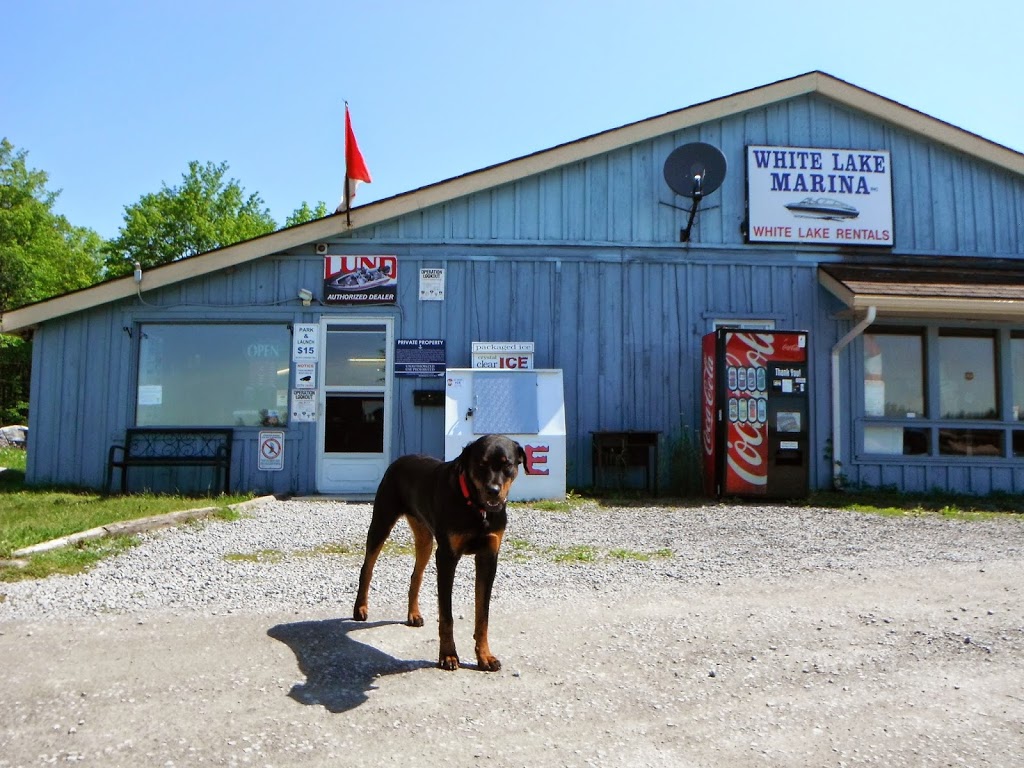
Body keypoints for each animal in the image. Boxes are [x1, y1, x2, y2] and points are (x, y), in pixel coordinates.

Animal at [354, 436, 528, 671]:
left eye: (507, 464)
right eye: (480, 464)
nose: (493, 490)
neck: (476, 507)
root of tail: (400, 460)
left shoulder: (489, 556)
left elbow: (483, 615)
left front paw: (485, 656)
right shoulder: (447, 557)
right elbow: (446, 616)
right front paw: (448, 655)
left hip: (425, 538)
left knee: (416, 574)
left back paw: (413, 614)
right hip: (382, 519)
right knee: (367, 567)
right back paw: (360, 609)